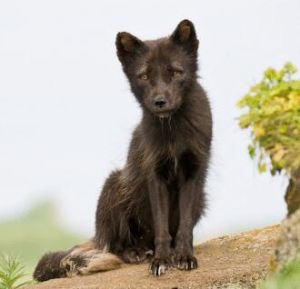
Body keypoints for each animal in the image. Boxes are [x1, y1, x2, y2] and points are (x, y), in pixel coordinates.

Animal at [33, 19, 211, 280]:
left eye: (175, 72)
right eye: (144, 76)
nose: (159, 102)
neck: (172, 131)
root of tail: (97, 235)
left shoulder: (192, 172)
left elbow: (184, 226)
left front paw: (184, 256)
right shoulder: (155, 174)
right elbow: (161, 227)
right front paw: (161, 260)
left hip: (200, 200)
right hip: (115, 184)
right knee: (115, 246)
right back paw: (135, 252)